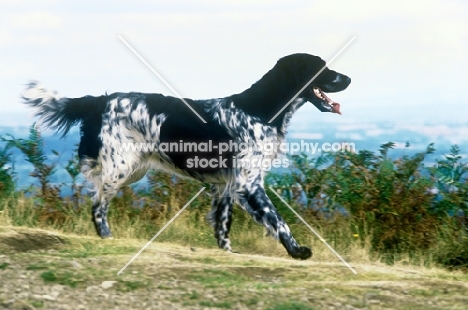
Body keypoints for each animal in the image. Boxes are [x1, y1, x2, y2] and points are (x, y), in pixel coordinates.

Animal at [23, 53, 350, 260]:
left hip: (132, 169)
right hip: (121, 168)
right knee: (97, 205)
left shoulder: (227, 185)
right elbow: (278, 220)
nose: (348, 77)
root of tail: (98, 101)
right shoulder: (249, 183)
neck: (260, 110)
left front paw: (227, 253)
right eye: (323, 67)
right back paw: (107, 238)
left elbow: (223, 225)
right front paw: (297, 251)